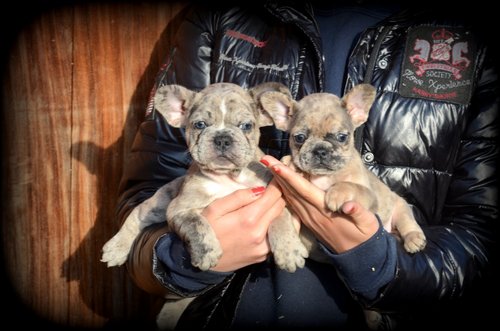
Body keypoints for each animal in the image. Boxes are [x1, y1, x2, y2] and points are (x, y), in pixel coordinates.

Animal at [99, 83, 306, 274]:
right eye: (200, 125)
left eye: (246, 126)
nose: (222, 139)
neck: (228, 176)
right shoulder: (179, 209)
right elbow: (196, 224)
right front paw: (207, 253)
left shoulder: (275, 198)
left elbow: (281, 217)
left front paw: (289, 251)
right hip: (158, 205)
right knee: (136, 215)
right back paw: (116, 248)